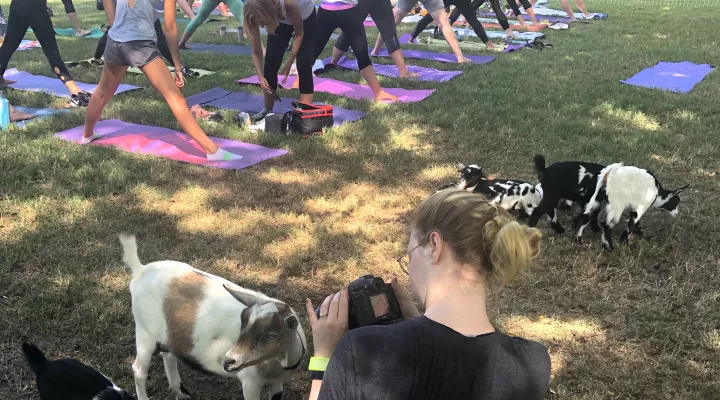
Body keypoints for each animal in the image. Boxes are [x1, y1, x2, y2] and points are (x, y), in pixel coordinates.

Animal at [119, 234, 306, 400]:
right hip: (145, 332)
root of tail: (141, 270)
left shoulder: (278, 382)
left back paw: (181, 392)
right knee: (139, 370)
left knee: (169, 355)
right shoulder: (250, 382)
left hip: (166, 332)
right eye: (243, 322)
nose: (228, 361)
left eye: (272, 335)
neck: (278, 366)